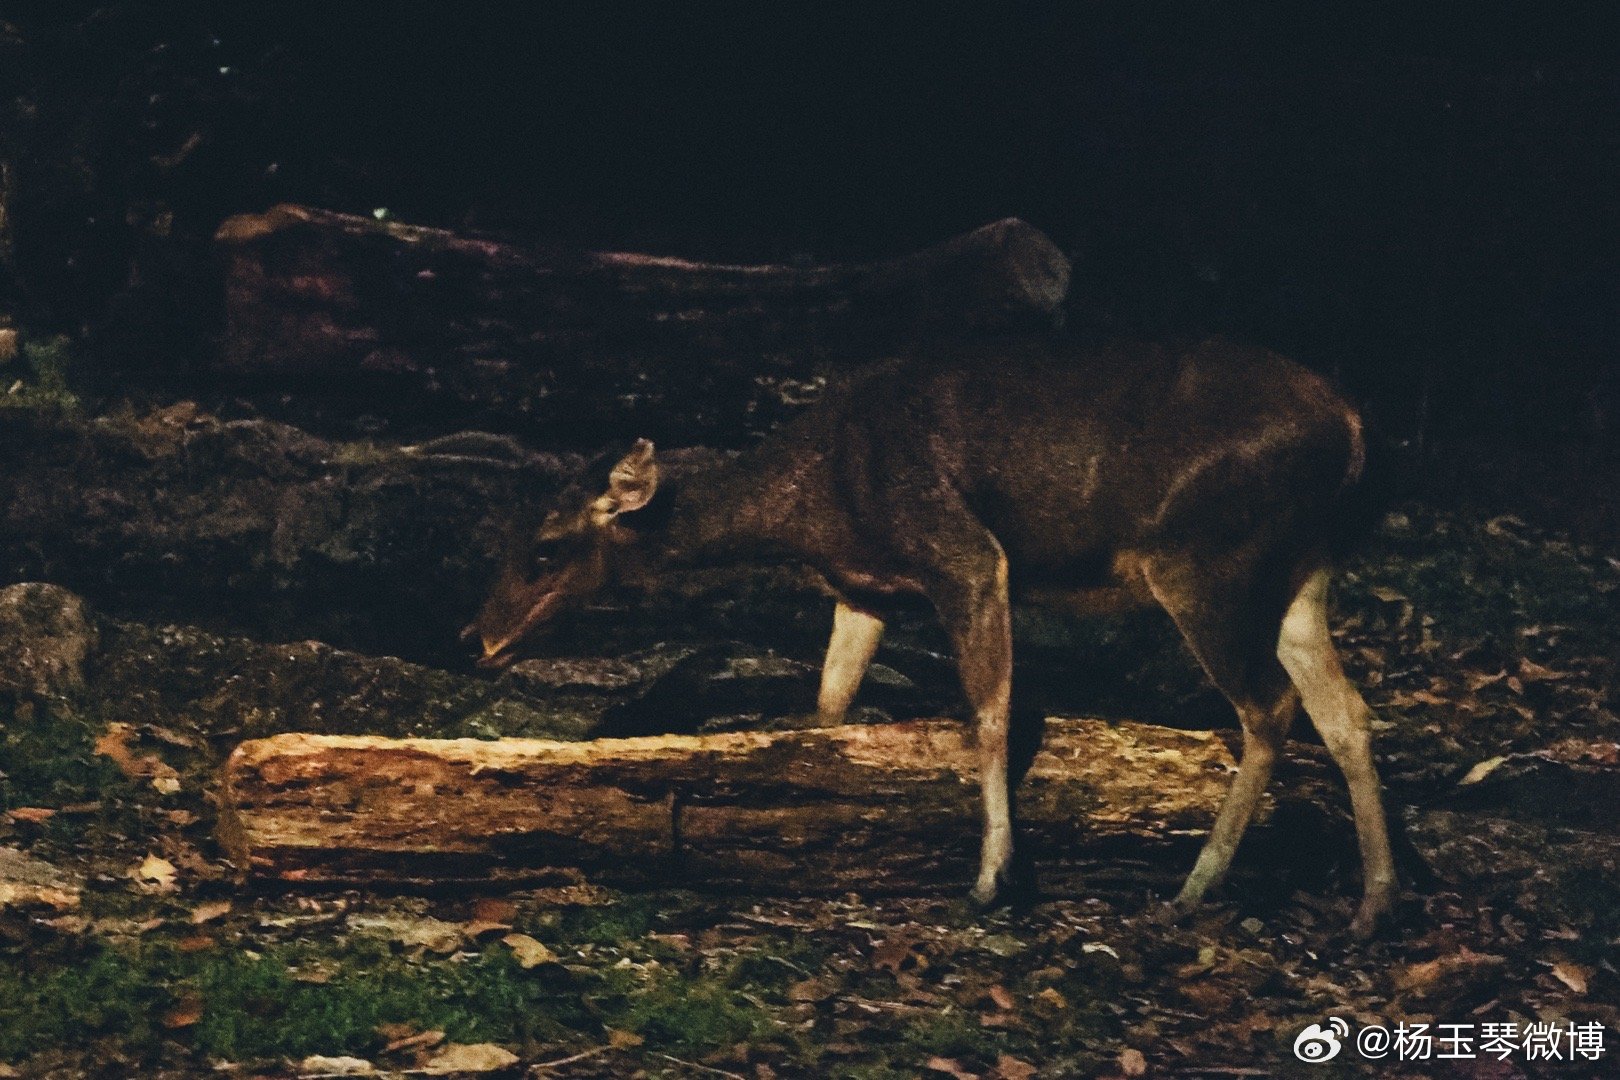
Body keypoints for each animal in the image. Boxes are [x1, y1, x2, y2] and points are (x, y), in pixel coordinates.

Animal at [466, 338, 1393, 939]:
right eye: (503, 541)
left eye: (545, 549)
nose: (479, 638)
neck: (812, 500)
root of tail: (1355, 432)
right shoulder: (862, 591)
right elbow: (828, 707)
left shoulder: (965, 554)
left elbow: (988, 716)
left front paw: (990, 879)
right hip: (1302, 567)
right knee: (1345, 709)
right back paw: (1374, 903)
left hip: (1203, 556)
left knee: (1270, 707)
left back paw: (1197, 885)